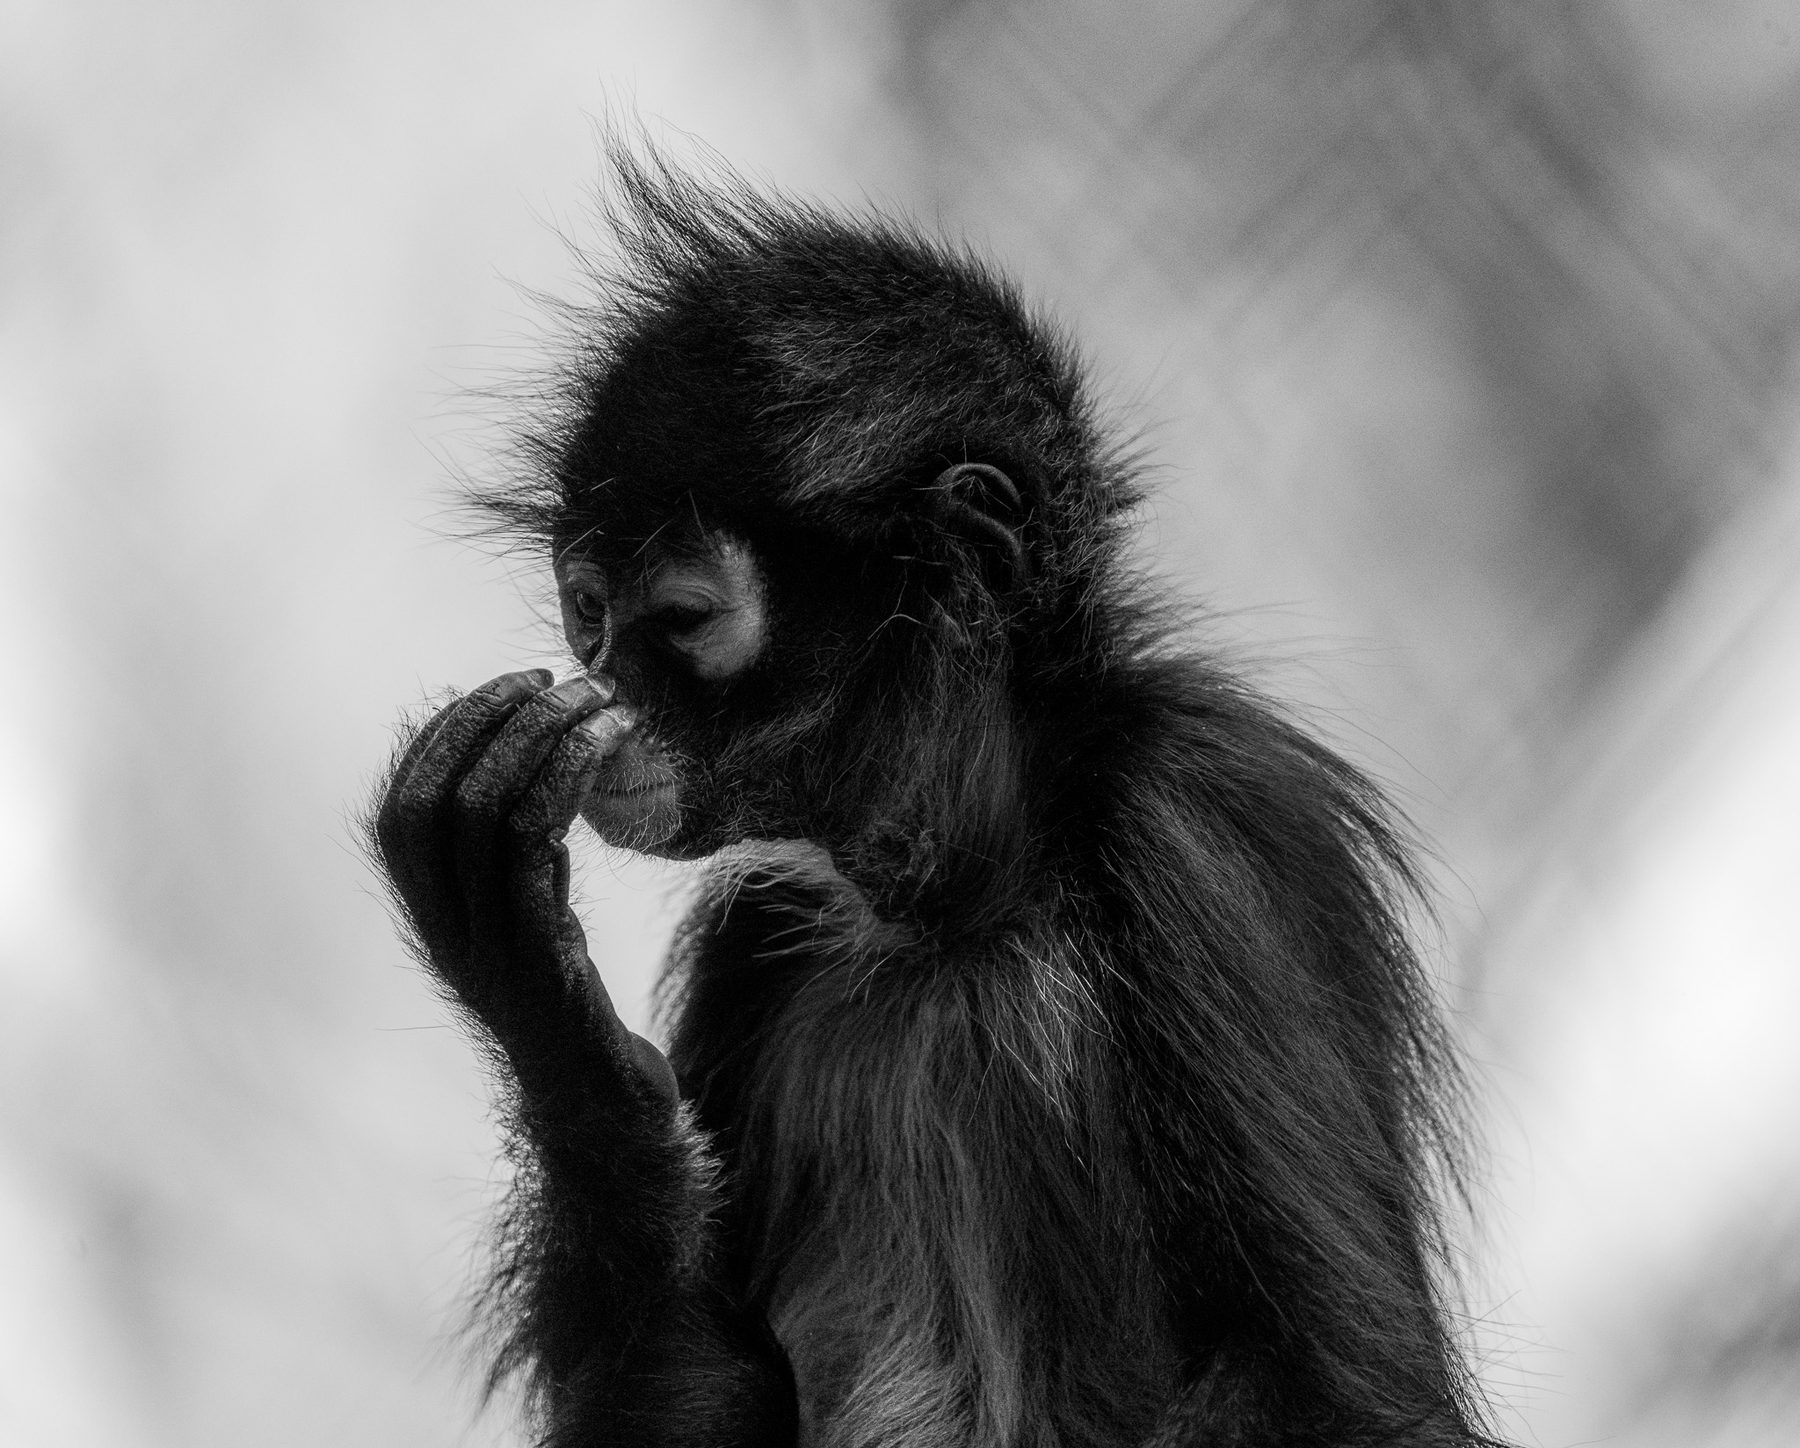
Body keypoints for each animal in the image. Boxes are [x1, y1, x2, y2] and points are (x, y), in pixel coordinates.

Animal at [372, 151, 1497, 1448]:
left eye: (684, 618)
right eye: (586, 613)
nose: (606, 681)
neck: (962, 902)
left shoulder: (1198, 821)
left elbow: (1347, 1397)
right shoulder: (758, 927)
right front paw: (557, 1031)